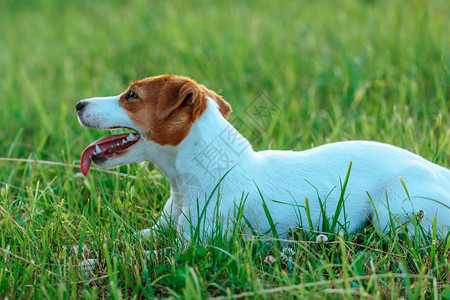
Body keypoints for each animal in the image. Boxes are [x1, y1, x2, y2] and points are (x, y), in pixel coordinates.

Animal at [77, 75, 450, 241]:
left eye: (131, 96)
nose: (79, 103)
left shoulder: (192, 245)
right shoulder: (160, 229)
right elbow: (122, 242)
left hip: (393, 208)